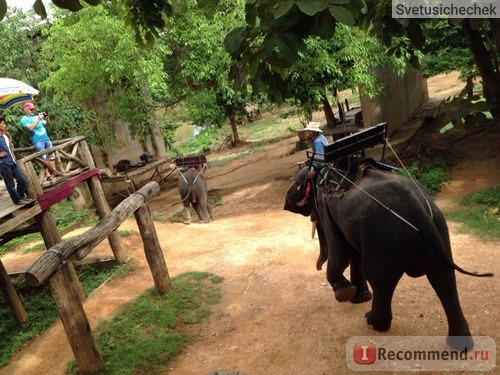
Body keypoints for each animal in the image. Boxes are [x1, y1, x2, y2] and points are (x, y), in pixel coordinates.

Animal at [286, 161, 492, 352]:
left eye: (295, 186)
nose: (287, 202)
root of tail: (416, 206)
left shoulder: (324, 204)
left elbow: (341, 251)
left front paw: (344, 292)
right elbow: (354, 254)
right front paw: (357, 296)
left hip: (384, 236)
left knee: (381, 280)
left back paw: (372, 323)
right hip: (438, 226)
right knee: (444, 277)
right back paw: (461, 345)